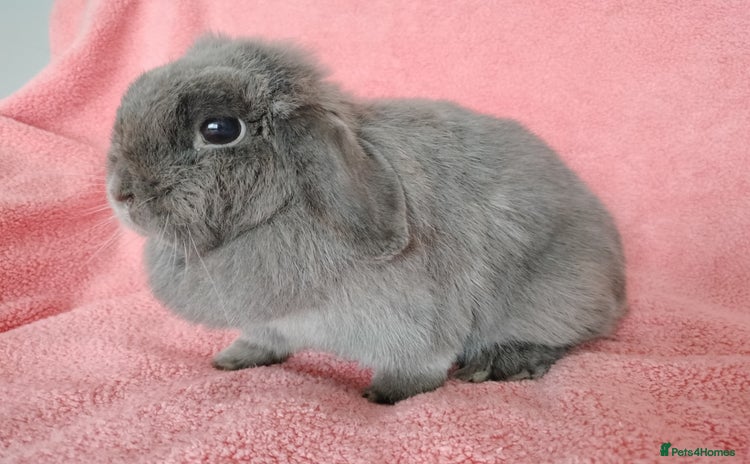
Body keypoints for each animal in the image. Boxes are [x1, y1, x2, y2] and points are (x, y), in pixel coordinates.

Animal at [106, 35, 626, 404]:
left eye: (219, 129)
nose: (120, 192)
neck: (283, 208)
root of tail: (618, 282)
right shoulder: (268, 323)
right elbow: (261, 340)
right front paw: (232, 360)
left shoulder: (416, 322)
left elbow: (418, 367)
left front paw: (383, 396)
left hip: (554, 292)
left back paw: (501, 363)